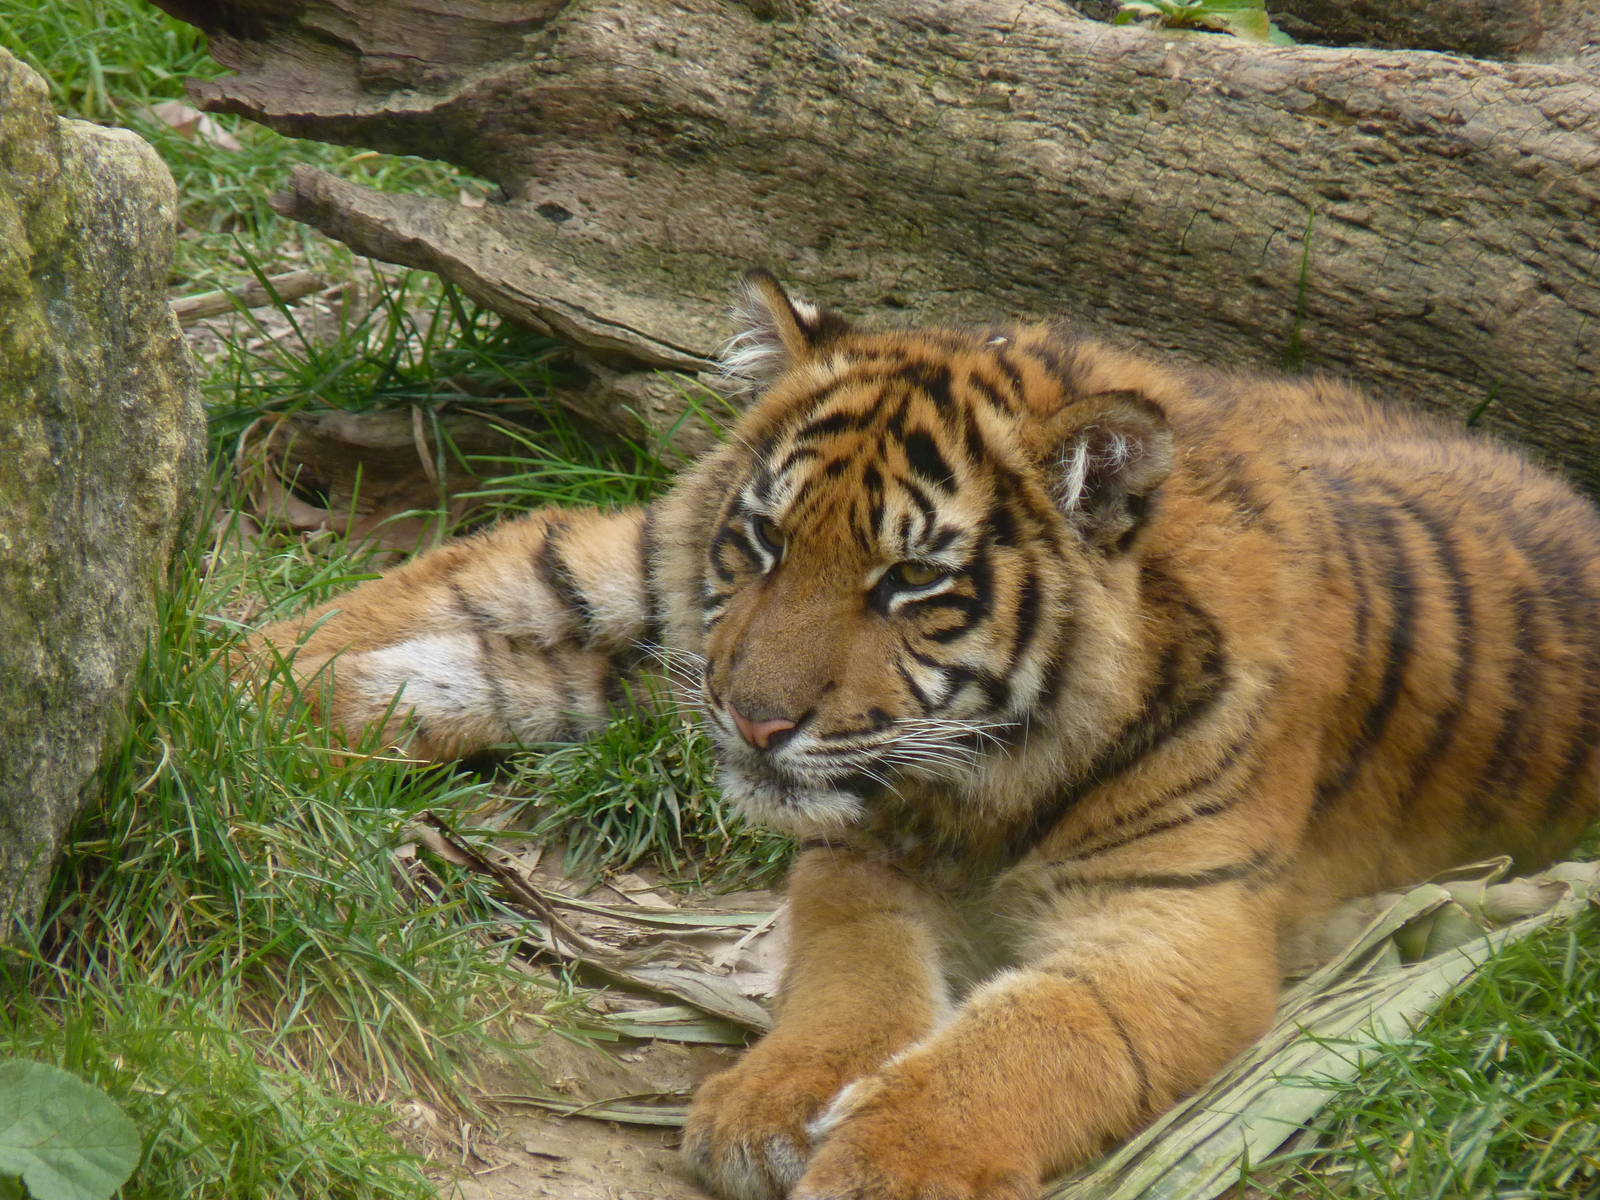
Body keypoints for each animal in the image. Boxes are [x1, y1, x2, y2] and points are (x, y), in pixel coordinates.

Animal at [252, 270, 1600, 1200]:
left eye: (910, 582)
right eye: (765, 542)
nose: (752, 718)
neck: (998, 777)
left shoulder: (1175, 924)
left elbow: (1036, 1036)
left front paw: (888, 1158)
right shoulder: (861, 849)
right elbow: (855, 974)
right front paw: (776, 1106)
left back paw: (341, 704)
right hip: (632, 587)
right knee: (509, 557)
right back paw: (234, 686)